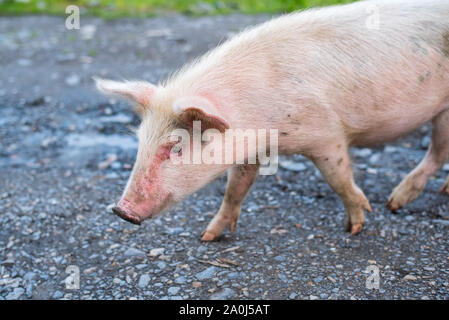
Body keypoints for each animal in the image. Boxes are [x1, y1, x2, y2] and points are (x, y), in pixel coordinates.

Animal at [96, 0, 448, 240]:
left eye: (176, 148)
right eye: (140, 143)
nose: (121, 211)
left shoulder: (327, 135)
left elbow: (339, 180)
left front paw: (356, 227)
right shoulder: (251, 151)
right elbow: (235, 189)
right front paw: (208, 237)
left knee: (437, 152)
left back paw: (394, 204)